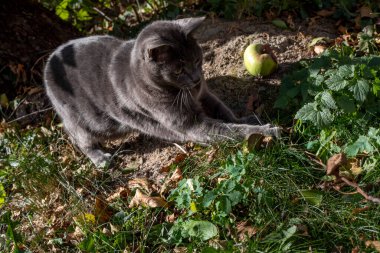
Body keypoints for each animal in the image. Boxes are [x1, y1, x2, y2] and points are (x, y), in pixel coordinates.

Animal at [44, 16, 280, 166]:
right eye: (179, 69)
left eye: (198, 59)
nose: (197, 78)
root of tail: (50, 59)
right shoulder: (191, 124)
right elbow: (230, 131)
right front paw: (267, 131)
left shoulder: (205, 95)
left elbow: (225, 112)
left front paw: (249, 119)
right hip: (82, 119)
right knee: (80, 138)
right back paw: (100, 158)